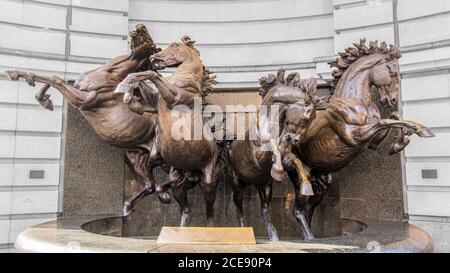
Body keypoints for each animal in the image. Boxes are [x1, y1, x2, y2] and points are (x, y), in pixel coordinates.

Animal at [116, 35, 221, 225]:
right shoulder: (154, 101)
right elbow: (146, 81)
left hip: (208, 182)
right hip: (178, 179)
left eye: (174, 45)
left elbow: (151, 75)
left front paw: (125, 87)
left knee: (210, 212)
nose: (153, 58)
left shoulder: (175, 97)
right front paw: (129, 95)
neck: (186, 79)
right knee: (185, 208)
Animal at [290, 39, 434, 239]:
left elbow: (393, 118)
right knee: (298, 210)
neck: (353, 99)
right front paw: (422, 130)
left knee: (308, 209)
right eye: (393, 73)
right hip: (300, 176)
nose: (392, 99)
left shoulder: (372, 142)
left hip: (321, 180)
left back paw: (310, 235)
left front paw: (401, 141)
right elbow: (385, 121)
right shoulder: (355, 137)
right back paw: (309, 238)